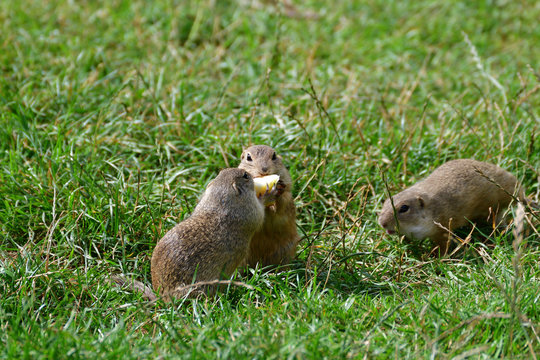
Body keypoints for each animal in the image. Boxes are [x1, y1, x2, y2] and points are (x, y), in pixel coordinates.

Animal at [150, 167, 274, 300]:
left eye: (222, 172)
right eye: (245, 175)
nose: (248, 172)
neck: (218, 202)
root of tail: (161, 297)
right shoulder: (251, 209)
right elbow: (260, 213)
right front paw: (268, 192)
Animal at [380, 159, 528, 255]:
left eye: (404, 208)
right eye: (385, 202)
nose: (382, 223)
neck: (431, 208)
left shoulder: (442, 228)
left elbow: (443, 245)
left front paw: (437, 257)